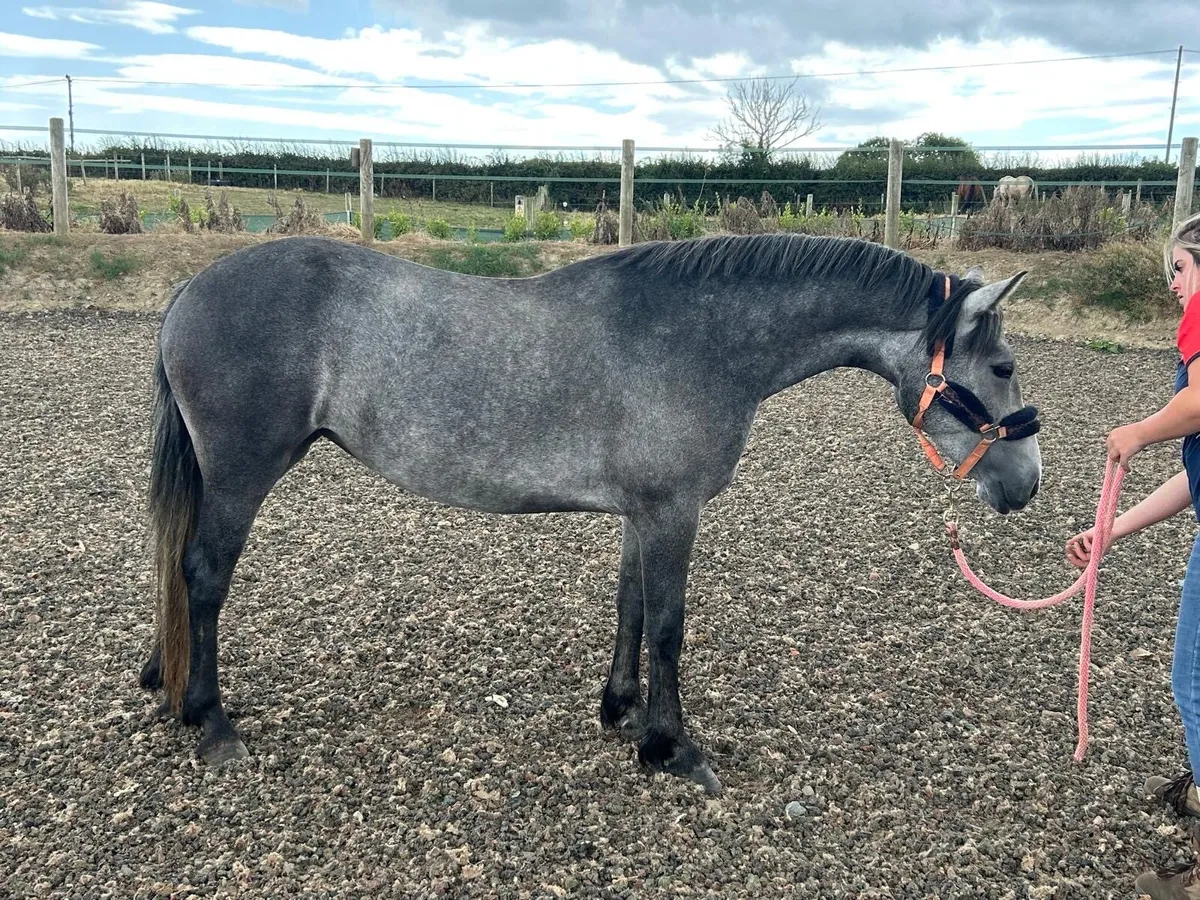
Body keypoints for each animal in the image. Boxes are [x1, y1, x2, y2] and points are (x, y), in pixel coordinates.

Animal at [140, 233, 1042, 793]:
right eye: (1001, 365)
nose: (1027, 482)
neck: (699, 339)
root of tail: (192, 288)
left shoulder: (643, 512)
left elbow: (631, 607)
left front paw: (620, 709)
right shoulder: (673, 512)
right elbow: (670, 625)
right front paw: (671, 747)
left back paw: (163, 677)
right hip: (242, 474)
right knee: (204, 575)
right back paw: (211, 721)